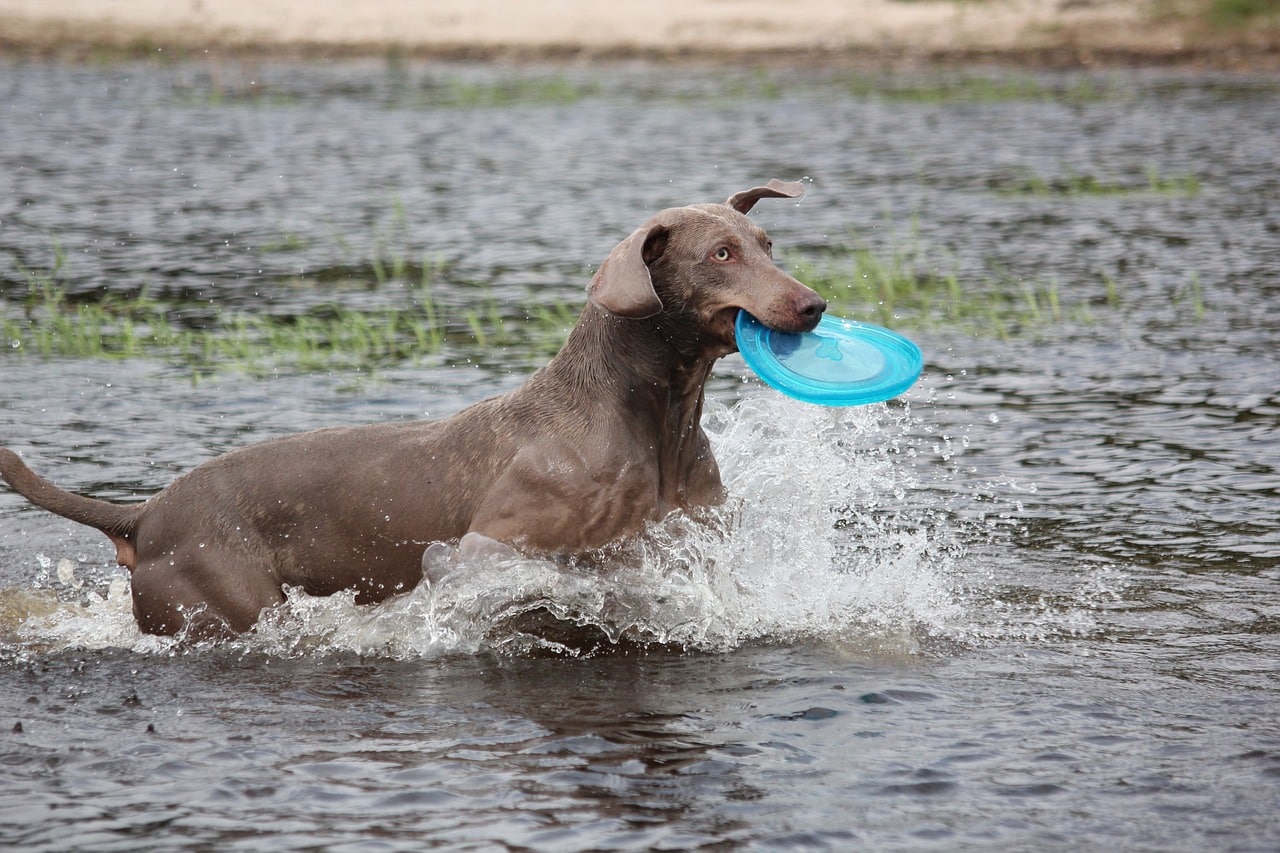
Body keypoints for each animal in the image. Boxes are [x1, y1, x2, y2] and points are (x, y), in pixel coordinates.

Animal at [0, 179, 824, 630]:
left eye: (767, 242)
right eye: (720, 254)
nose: (813, 304)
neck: (655, 415)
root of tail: (142, 514)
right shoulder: (495, 544)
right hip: (224, 600)